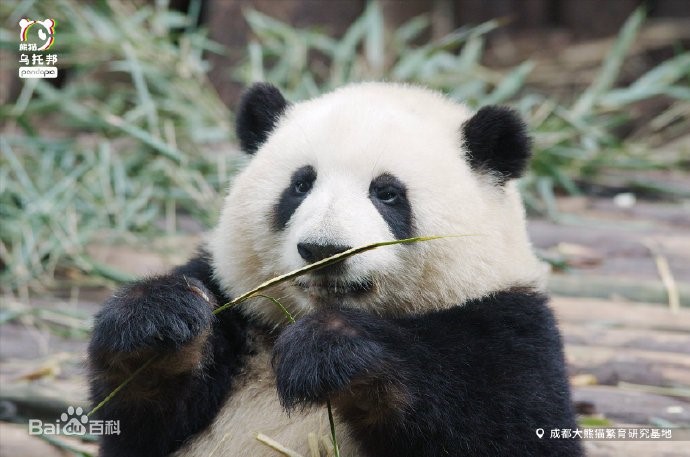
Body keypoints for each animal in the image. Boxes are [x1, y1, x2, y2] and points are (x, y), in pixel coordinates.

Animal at [87, 83, 580, 456]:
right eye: (301, 184)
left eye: (387, 193)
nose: (324, 249)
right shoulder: (237, 307)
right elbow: (140, 424)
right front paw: (155, 320)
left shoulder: (506, 330)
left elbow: (506, 430)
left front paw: (331, 350)